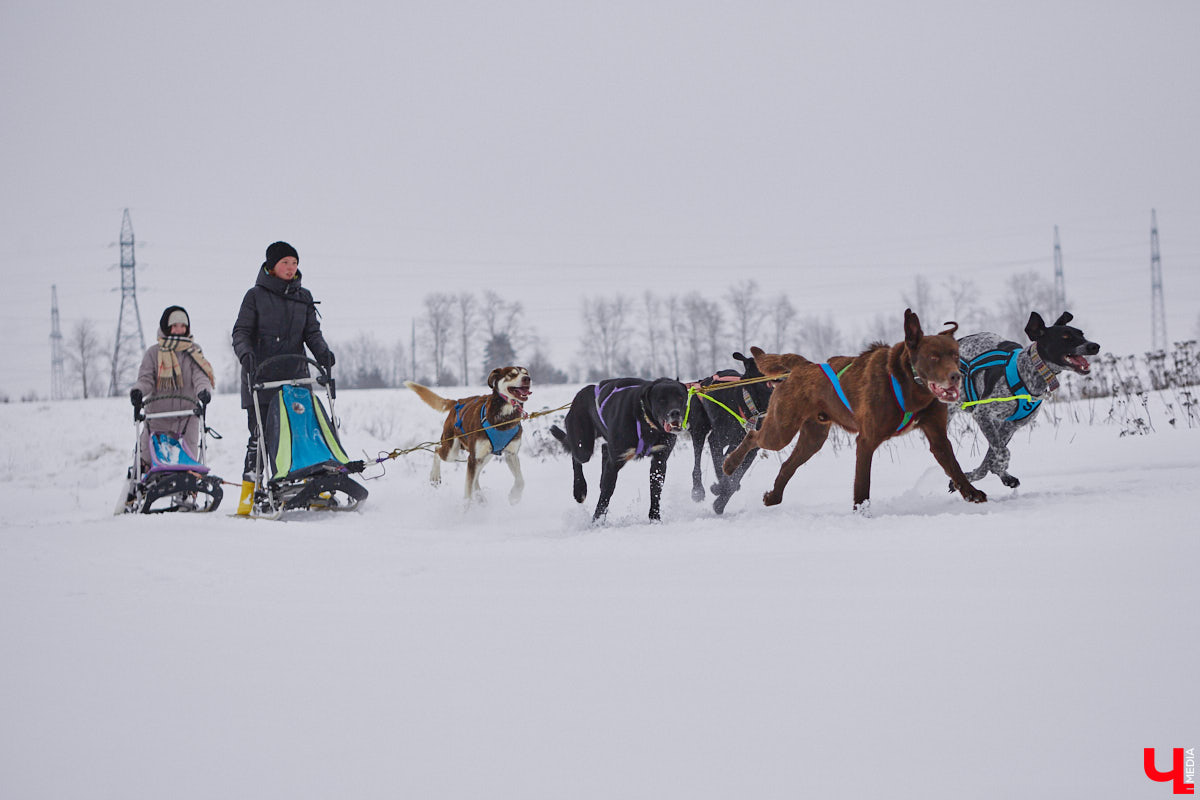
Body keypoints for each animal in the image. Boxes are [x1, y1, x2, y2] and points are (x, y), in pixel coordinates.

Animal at [405, 367, 532, 503]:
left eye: (526, 373)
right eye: (512, 374)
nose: (527, 379)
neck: (504, 419)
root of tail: (458, 401)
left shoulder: (511, 454)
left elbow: (521, 481)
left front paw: (515, 496)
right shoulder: (474, 457)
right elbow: (468, 490)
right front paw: (467, 507)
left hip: (484, 456)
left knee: (475, 476)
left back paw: (480, 497)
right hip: (453, 452)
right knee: (437, 449)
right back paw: (435, 476)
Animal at [549, 379, 691, 522]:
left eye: (680, 397)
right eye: (661, 400)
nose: (675, 412)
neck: (645, 421)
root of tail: (580, 394)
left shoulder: (660, 459)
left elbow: (655, 489)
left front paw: (655, 519)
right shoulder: (616, 461)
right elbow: (606, 493)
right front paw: (597, 521)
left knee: (604, 449)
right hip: (583, 446)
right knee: (576, 456)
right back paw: (579, 489)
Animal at [950, 311, 1099, 489]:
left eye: (1081, 334)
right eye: (1065, 336)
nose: (1094, 346)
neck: (1029, 373)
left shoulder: (1010, 426)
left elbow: (990, 458)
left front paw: (981, 475)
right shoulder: (982, 413)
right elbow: (1001, 452)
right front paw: (1000, 466)